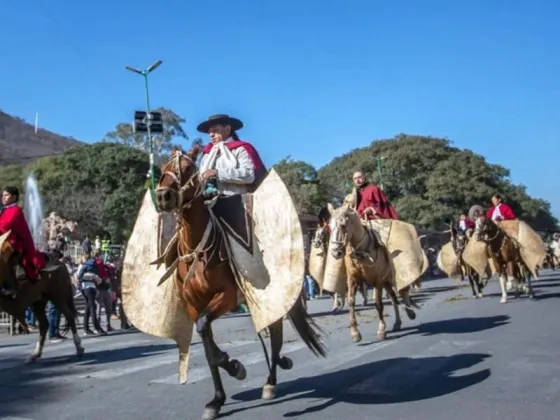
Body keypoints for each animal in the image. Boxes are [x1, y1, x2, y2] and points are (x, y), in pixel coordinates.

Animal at [0, 230, 85, 360]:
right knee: (44, 325)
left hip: (57, 297)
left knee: (69, 316)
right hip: (38, 301)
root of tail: (60, 264)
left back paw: (79, 346)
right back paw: (35, 354)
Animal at [155, 147, 326, 420]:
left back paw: (271, 382)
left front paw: (233, 367)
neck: (197, 250)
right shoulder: (194, 305)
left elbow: (206, 332)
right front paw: (218, 396)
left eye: (189, 169)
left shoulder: (226, 297)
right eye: (163, 169)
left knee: (275, 337)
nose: (163, 196)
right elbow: (207, 346)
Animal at [326, 204, 414, 344]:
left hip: (389, 278)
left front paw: (381, 330)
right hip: (386, 282)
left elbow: (378, 304)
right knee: (393, 297)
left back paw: (410, 312)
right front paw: (355, 333)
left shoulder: (378, 280)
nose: (335, 252)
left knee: (402, 292)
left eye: (343, 225)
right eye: (329, 226)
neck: (362, 252)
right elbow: (351, 302)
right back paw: (397, 323)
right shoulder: (353, 280)